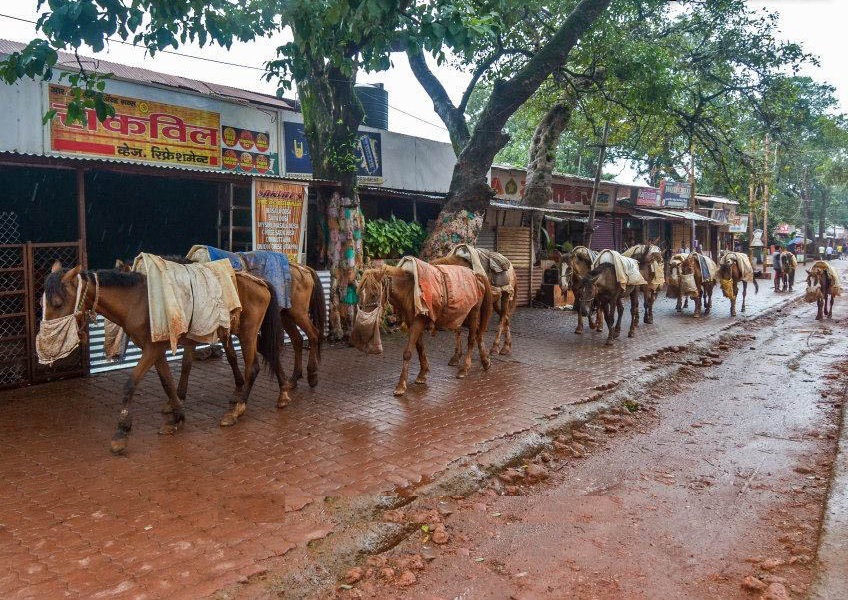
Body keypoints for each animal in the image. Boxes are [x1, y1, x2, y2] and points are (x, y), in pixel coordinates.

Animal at [42, 260, 282, 452]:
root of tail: (259, 281)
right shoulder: (154, 350)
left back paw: (237, 411)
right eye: (41, 302)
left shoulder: (152, 349)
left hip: (247, 334)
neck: (136, 300)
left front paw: (122, 431)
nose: (45, 345)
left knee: (252, 368)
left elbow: (130, 385)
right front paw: (177, 418)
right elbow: (167, 382)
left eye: (58, 303)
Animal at [356, 260, 490, 396]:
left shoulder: (418, 322)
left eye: (374, 294)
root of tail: (476, 275)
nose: (364, 322)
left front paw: (401, 385)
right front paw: (422, 374)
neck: (409, 291)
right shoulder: (413, 323)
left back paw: (465, 368)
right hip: (462, 313)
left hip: (473, 311)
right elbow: (420, 348)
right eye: (360, 294)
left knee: (472, 338)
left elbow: (408, 352)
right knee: (476, 333)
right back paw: (484, 361)